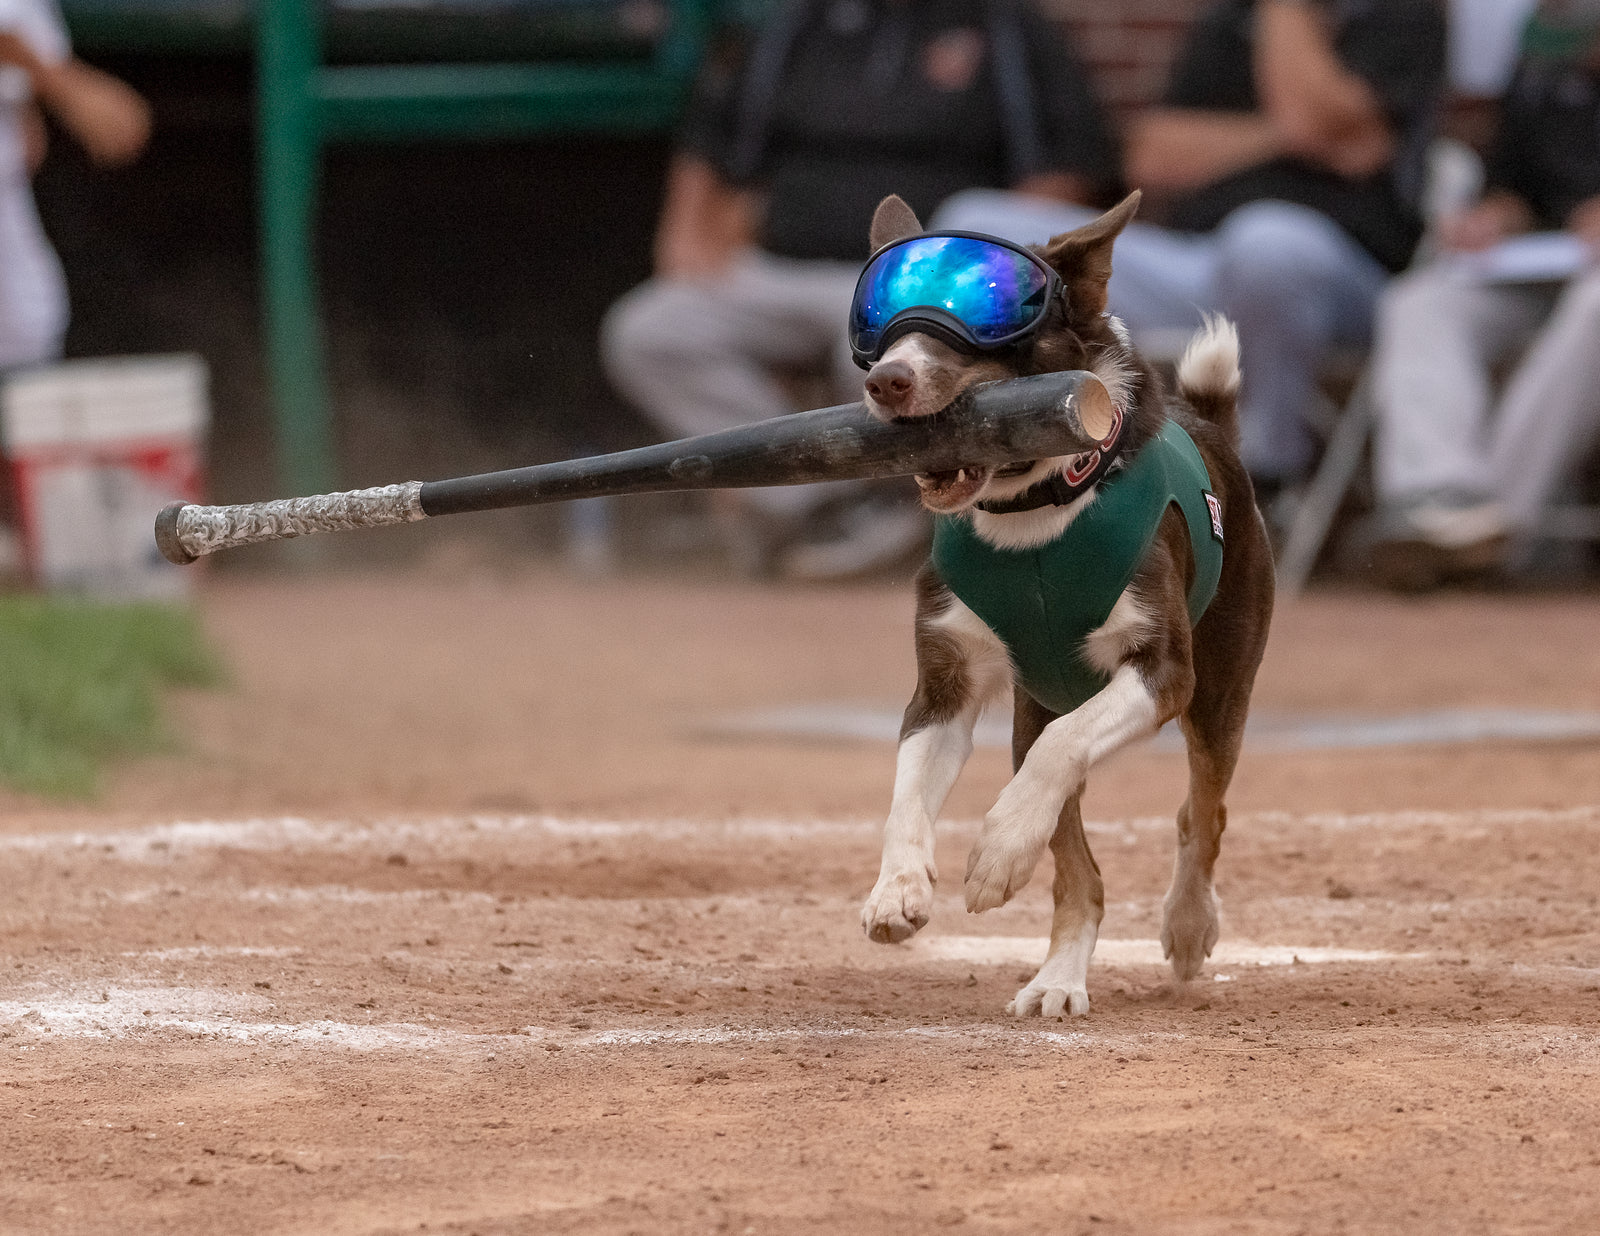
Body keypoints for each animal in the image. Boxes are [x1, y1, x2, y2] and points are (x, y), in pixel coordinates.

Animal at [857, 192, 1280, 1011]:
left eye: (987, 315)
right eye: (883, 325)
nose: (886, 380)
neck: (1033, 513)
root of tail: (1213, 424)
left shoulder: (1163, 672)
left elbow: (1065, 752)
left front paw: (995, 852)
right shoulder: (945, 682)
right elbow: (907, 792)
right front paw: (898, 891)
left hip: (1221, 686)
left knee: (1201, 812)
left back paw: (1185, 926)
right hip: (1039, 701)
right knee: (1078, 866)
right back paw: (1057, 980)